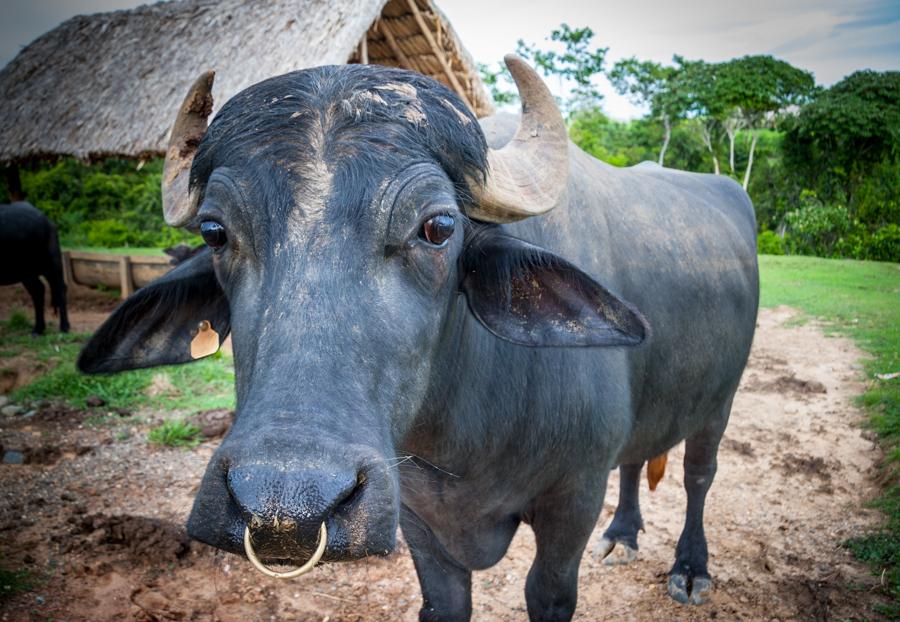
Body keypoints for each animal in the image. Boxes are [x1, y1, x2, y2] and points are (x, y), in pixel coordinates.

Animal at [0, 204, 70, 336]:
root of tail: (46, 220)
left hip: (50, 264)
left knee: (58, 289)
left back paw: (64, 327)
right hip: (29, 272)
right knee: (39, 290)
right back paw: (38, 329)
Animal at [79, 56, 760, 620]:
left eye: (437, 227)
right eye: (215, 232)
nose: (283, 509)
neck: (466, 435)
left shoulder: (573, 499)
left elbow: (548, 594)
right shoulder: (418, 520)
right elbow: (443, 602)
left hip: (721, 401)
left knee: (698, 475)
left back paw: (690, 569)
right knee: (638, 459)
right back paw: (622, 536)